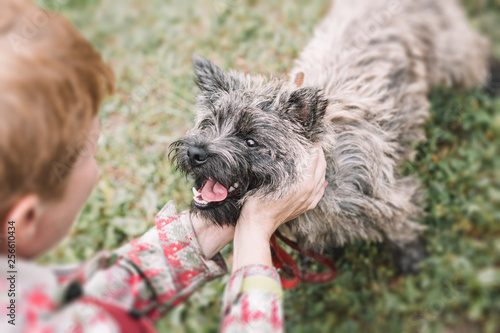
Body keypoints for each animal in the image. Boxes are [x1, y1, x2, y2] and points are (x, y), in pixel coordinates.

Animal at [169, 0, 496, 272]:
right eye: (209, 123)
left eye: (251, 141)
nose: (195, 153)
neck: (326, 173)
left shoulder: (388, 198)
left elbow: (402, 227)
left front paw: (411, 258)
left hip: (451, 53)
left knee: (477, 53)